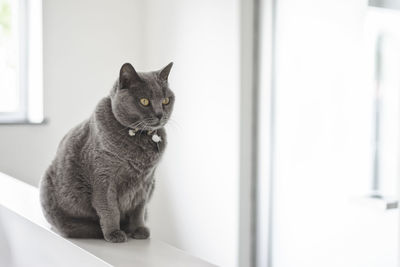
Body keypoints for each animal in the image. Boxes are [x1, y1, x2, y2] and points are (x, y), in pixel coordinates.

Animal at [39, 62, 175, 243]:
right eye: (144, 101)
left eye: (166, 100)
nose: (160, 114)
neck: (139, 138)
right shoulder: (104, 178)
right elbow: (109, 209)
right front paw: (113, 233)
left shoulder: (146, 182)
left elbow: (138, 209)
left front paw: (138, 230)